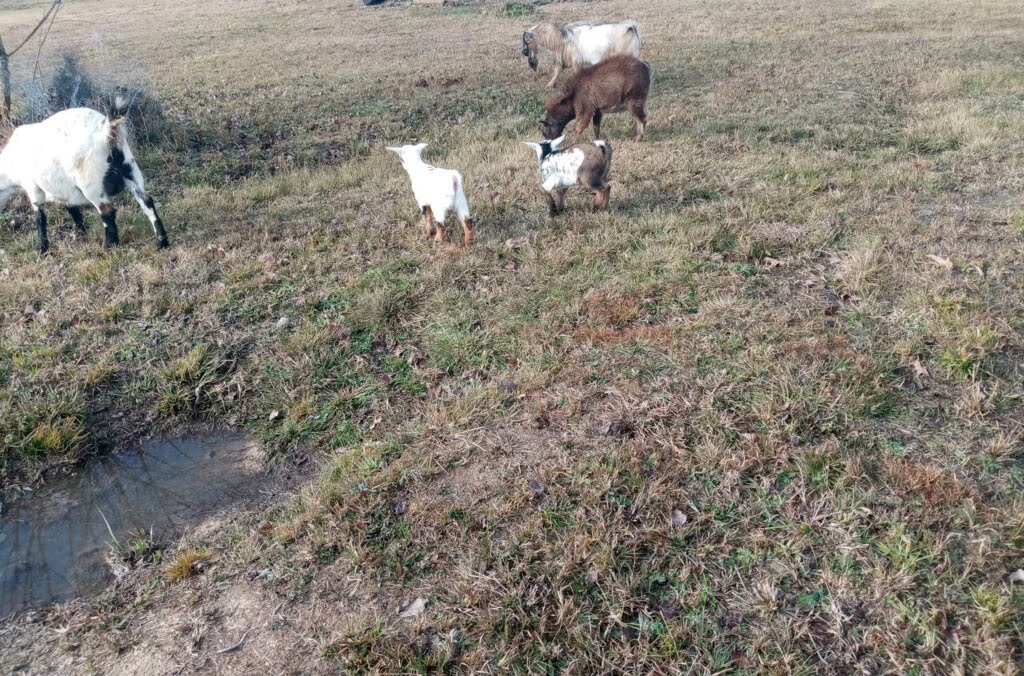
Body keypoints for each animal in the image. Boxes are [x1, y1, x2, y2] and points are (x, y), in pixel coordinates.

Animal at [0, 102, 169, 254]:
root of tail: (106, 131)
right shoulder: (64, 189)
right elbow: (72, 208)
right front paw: (81, 232)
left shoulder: (32, 186)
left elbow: (40, 217)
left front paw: (41, 248)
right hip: (130, 170)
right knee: (147, 202)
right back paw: (161, 242)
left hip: (91, 183)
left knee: (108, 212)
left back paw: (109, 247)